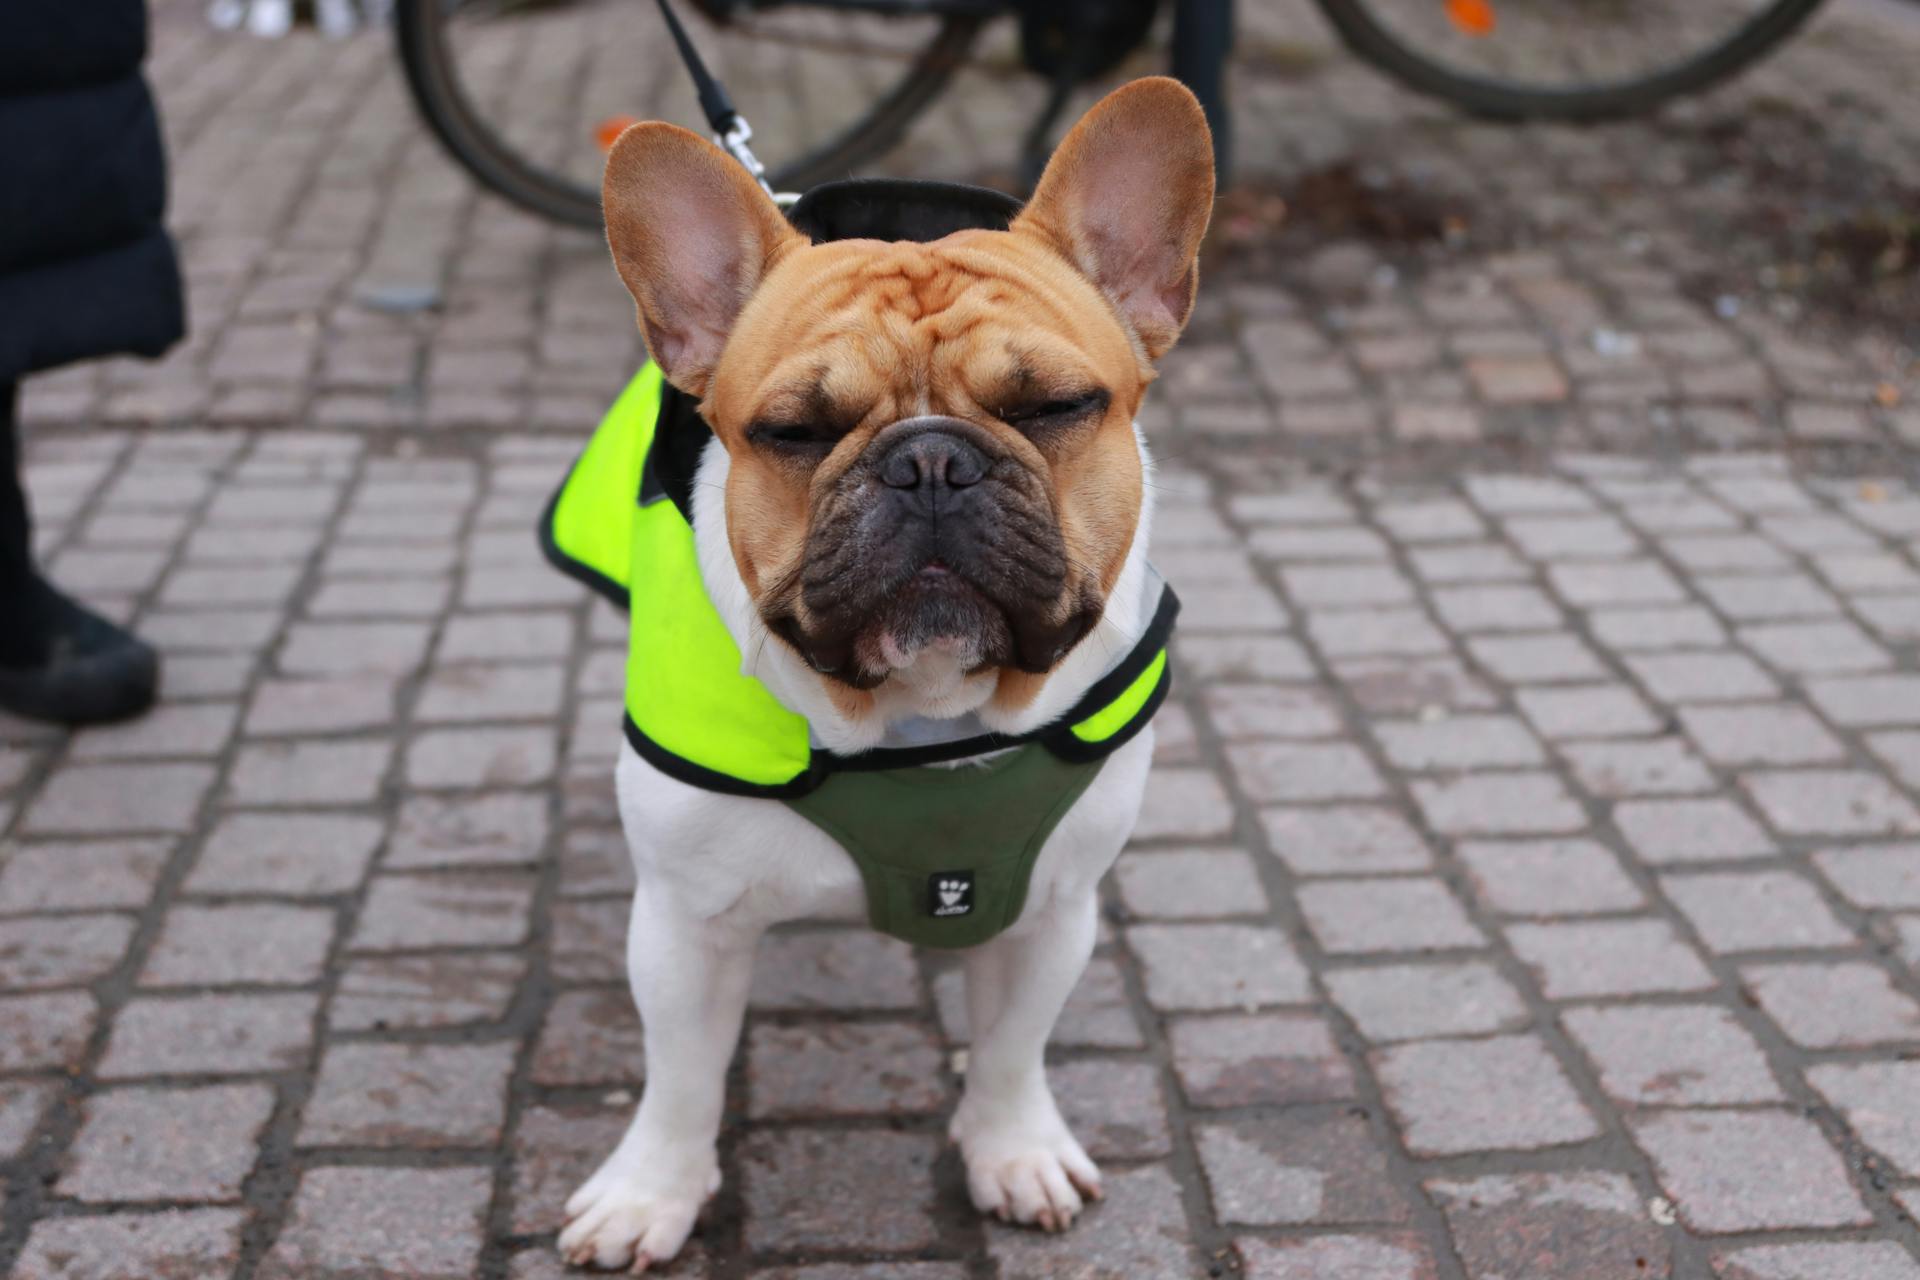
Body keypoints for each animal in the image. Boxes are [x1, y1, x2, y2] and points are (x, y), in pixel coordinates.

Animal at [556, 77, 1205, 1274]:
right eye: (793, 430)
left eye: (1054, 407)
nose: (930, 460)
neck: (924, 717)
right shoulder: (684, 926)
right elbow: (681, 1075)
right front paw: (649, 1190)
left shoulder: (1052, 908)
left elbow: (1012, 1047)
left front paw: (1013, 1149)